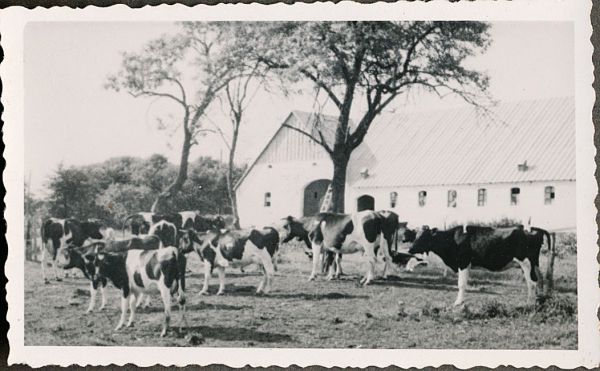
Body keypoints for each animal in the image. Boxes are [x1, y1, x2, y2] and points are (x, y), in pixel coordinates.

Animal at [408, 225, 548, 306]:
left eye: (424, 237)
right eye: (415, 236)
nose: (410, 249)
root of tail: (533, 230)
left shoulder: (463, 263)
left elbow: (461, 284)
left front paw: (458, 302)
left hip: (526, 263)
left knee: (532, 282)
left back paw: (529, 303)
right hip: (534, 264)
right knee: (540, 279)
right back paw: (540, 299)